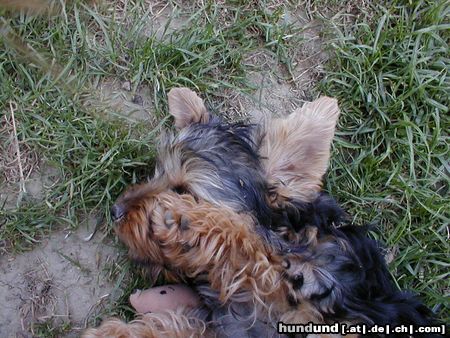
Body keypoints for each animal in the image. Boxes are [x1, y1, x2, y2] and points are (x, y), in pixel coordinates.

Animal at [82, 88, 434, 338]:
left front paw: (186, 222)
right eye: (155, 174)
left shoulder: (322, 291)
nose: (115, 210)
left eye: (184, 191)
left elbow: (255, 249)